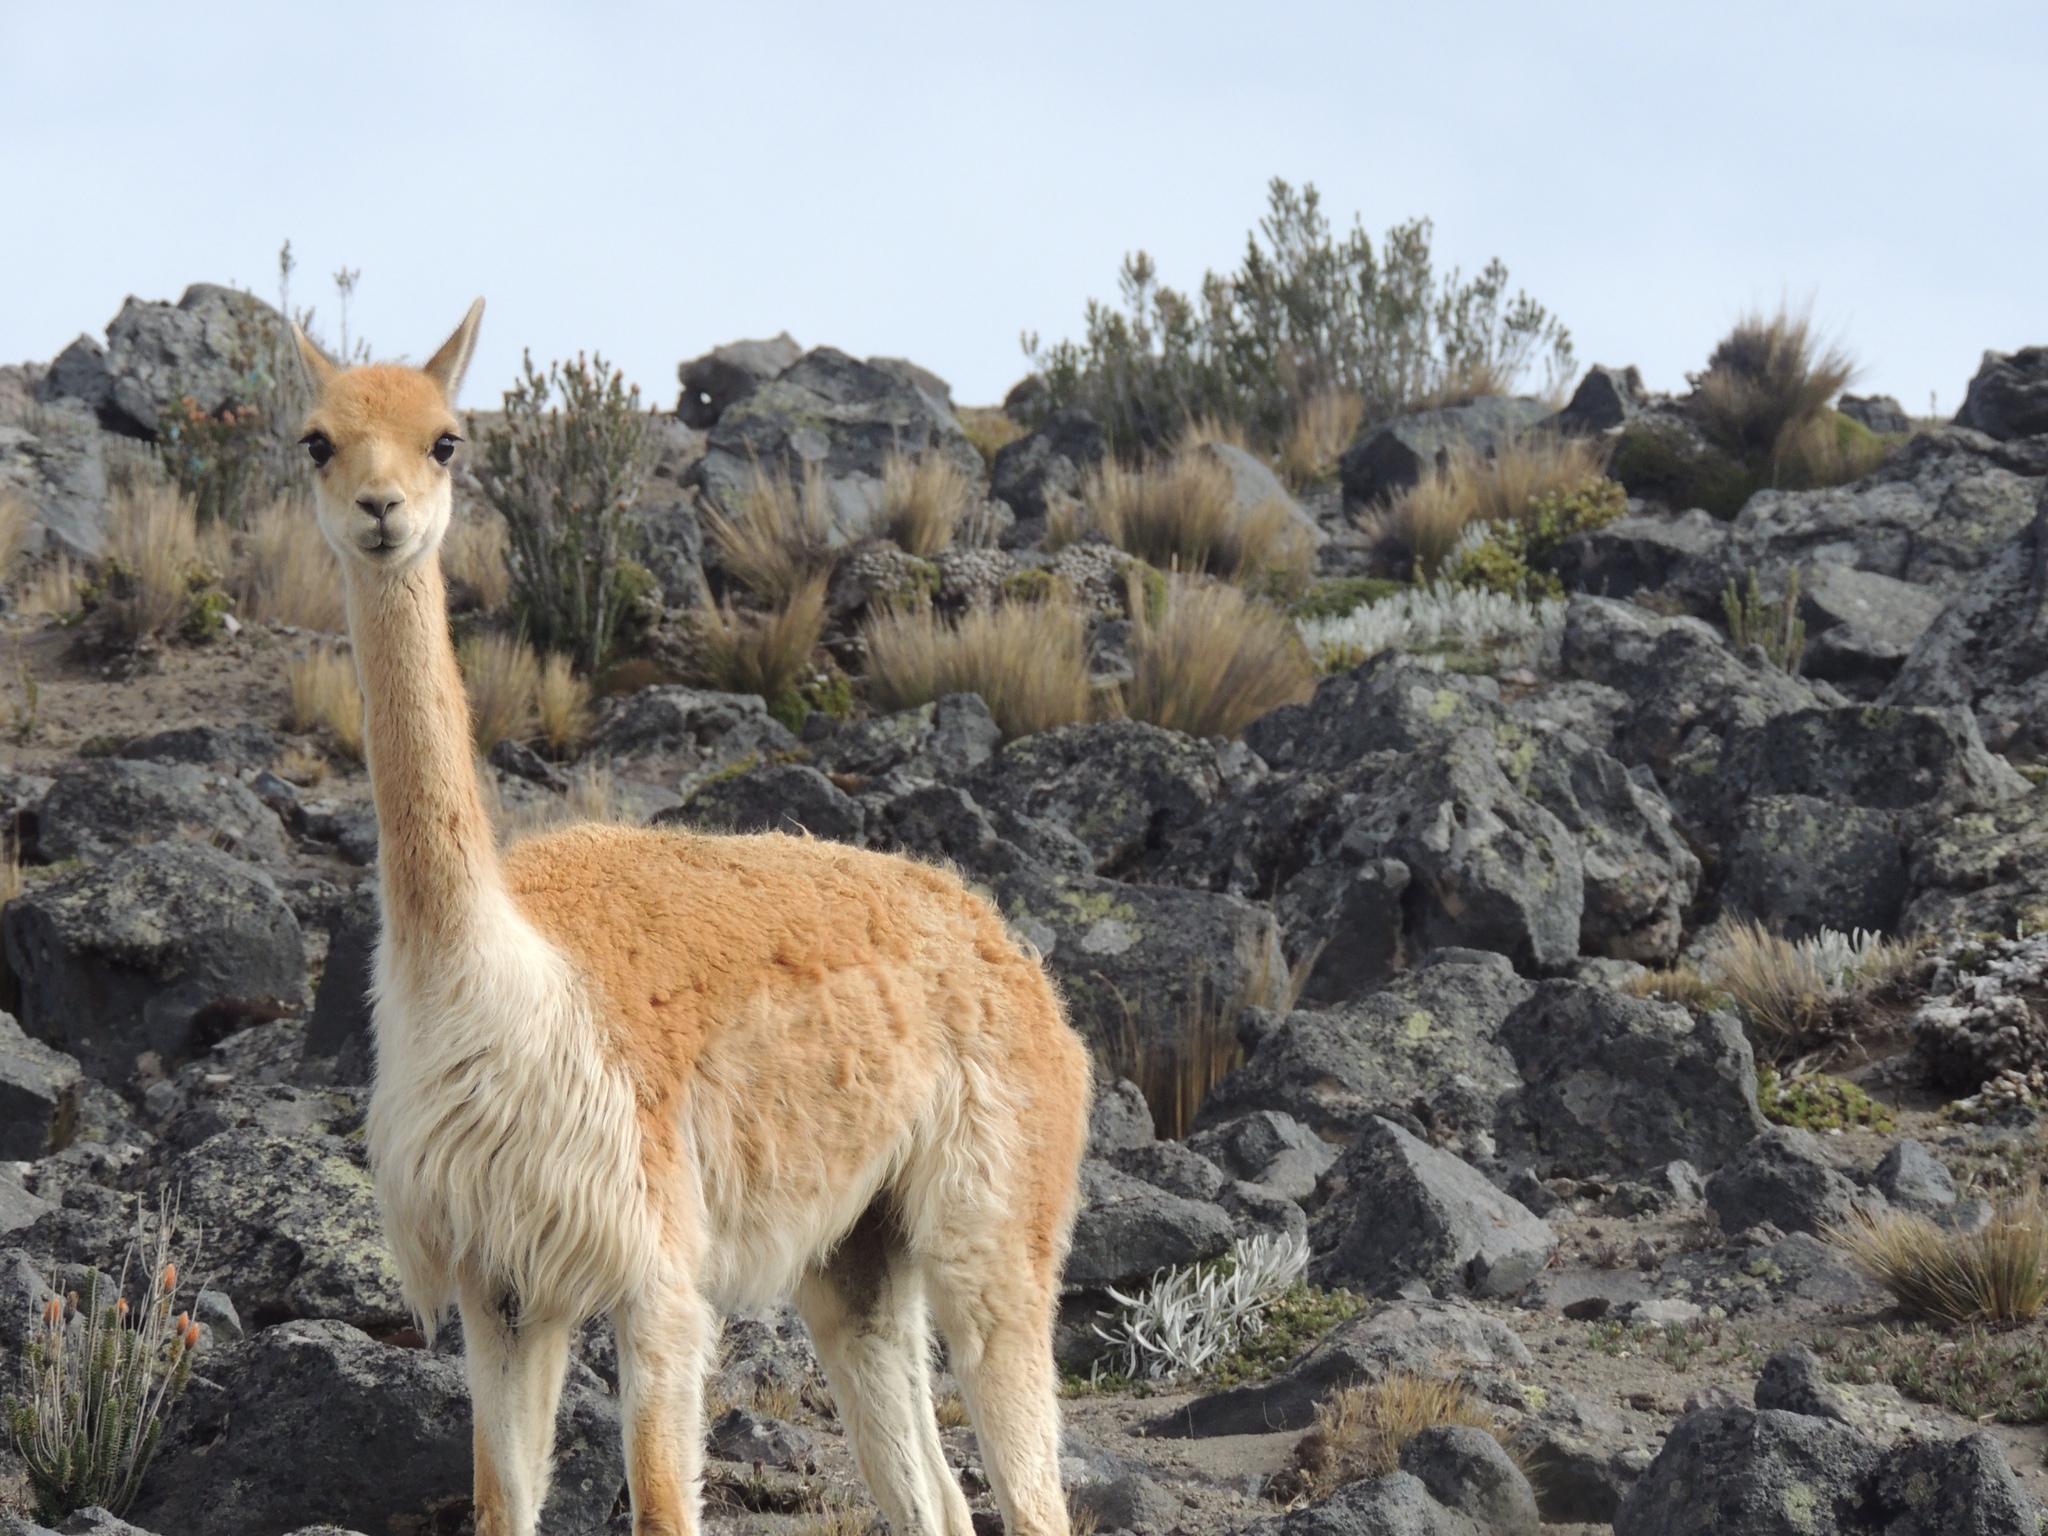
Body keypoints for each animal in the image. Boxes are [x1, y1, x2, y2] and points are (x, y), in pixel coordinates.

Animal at [291, 305, 1091, 1536]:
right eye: (318, 442)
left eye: (447, 441)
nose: (383, 513)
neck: (491, 979)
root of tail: (1009, 947)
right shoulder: (500, 1279)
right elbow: (500, 1504)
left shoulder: (655, 1263)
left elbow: (664, 1504)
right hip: (857, 1250)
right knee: (934, 1494)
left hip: (998, 1215)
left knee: (1033, 1483)